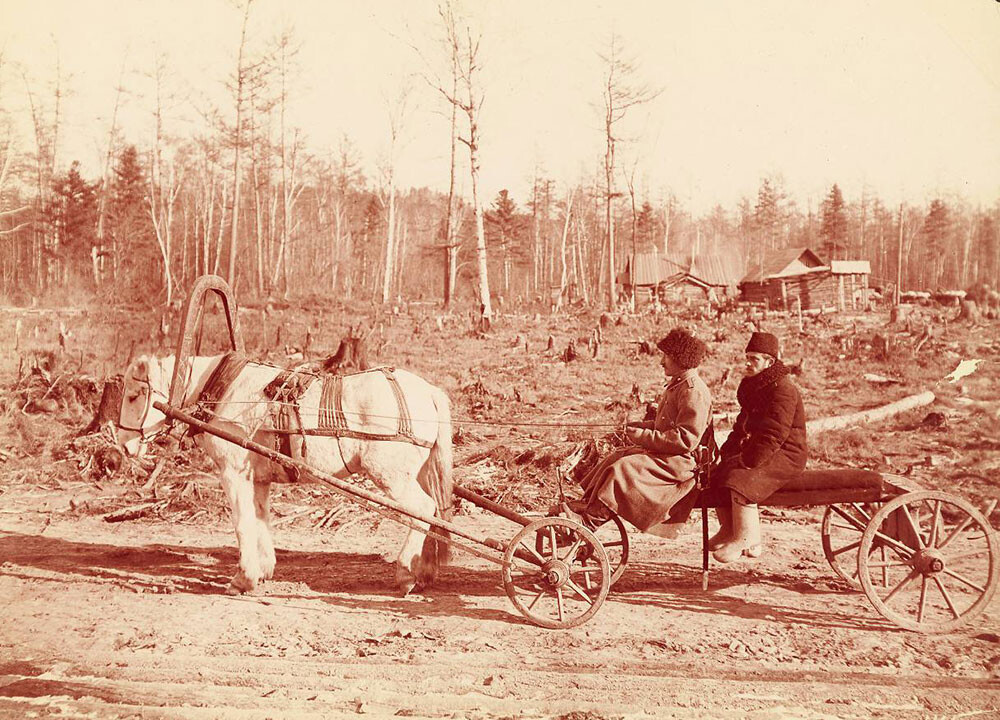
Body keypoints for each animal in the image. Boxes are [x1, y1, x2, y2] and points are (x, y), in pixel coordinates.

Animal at [118, 354, 458, 596]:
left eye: (134, 395)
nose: (124, 444)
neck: (226, 389)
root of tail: (428, 391)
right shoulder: (258, 478)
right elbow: (260, 518)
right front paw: (264, 568)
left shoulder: (233, 474)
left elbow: (242, 523)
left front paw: (243, 578)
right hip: (421, 473)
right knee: (435, 513)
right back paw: (424, 571)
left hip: (392, 476)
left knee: (422, 510)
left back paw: (406, 572)